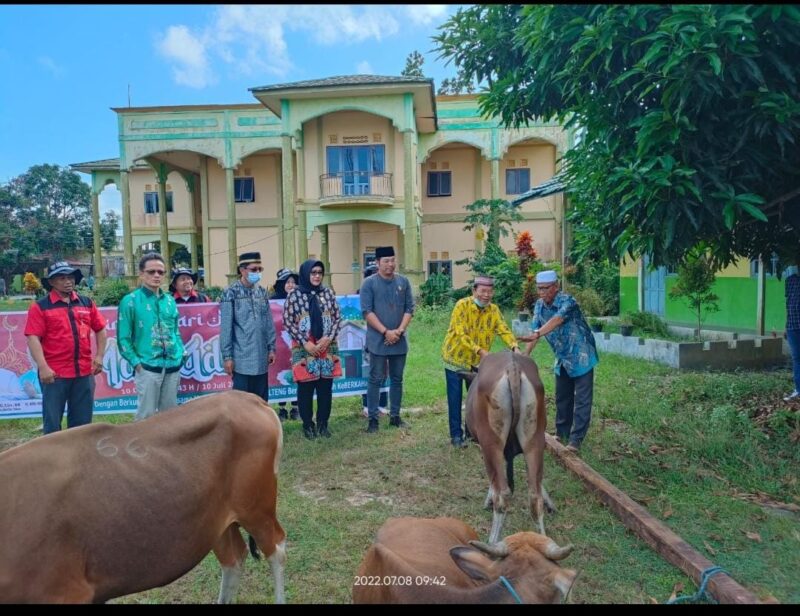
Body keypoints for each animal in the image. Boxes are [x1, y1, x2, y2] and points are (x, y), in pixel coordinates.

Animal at [0, 392, 286, 604]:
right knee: (234, 557)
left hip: (256, 508)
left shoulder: (67, 592)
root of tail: (250, 399)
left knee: (276, 548)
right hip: (217, 522)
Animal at [466, 348, 552, 540]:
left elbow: (493, 483)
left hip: (491, 442)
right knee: (534, 496)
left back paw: (492, 542)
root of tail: (513, 367)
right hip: (535, 439)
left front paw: (488, 499)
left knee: (503, 495)